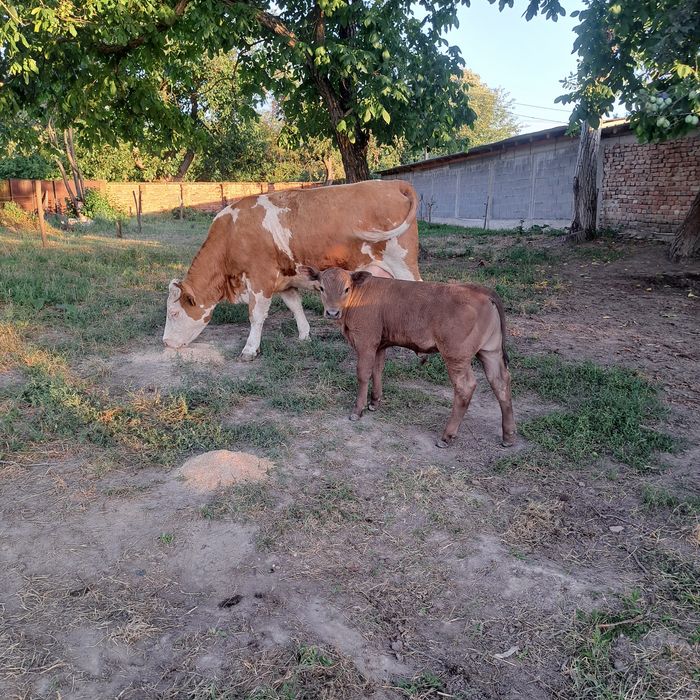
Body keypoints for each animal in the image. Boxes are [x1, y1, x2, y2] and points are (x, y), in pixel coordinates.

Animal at [162, 180, 421, 360]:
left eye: (173, 313)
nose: (165, 342)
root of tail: (394, 183)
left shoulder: (261, 279)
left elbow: (256, 315)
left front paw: (250, 349)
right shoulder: (284, 281)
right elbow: (295, 306)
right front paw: (305, 335)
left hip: (403, 264)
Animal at [301, 266, 516, 448]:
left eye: (346, 289)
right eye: (321, 288)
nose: (332, 312)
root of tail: (480, 290)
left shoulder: (366, 341)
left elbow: (363, 374)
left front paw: (357, 410)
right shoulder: (380, 344)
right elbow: (377, 370)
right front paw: (374, 402)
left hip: (456, 356)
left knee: (465, 387)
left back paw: (446, 436)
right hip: (490, 352)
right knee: (501, 382)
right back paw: (508, 436)